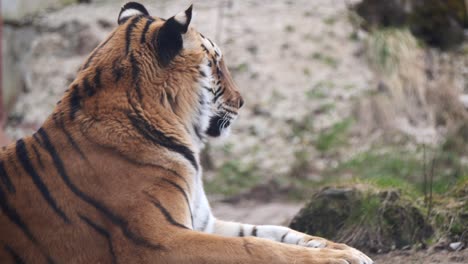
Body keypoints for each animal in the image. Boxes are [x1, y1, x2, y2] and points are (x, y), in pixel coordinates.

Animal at [0, 2, 372, 264]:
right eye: (217, 63)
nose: (242, 100)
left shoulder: (203, 221)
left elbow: (275, 231)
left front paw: (346, 250)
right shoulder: (157, 240)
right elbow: (255, 247)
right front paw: (336, 258)